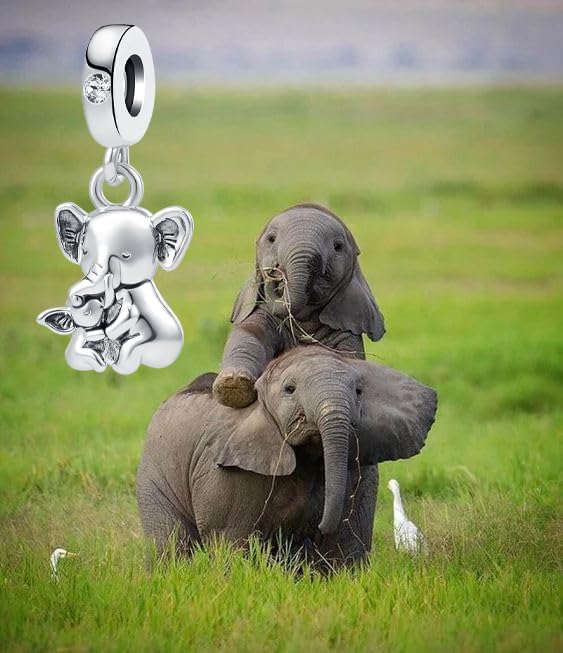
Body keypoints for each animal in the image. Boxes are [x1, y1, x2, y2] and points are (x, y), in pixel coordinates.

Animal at [137, 346, 437, 569]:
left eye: (359, 392)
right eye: (289, 390)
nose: (318, 526)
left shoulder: (359, 470)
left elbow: (345, 542)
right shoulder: (226, 472)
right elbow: (232, 541)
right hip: (154, 474)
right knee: (171, 544)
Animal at [213, 203, 385, 409]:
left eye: (338, 246)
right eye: (271, 239)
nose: (274, 272)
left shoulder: (346, 328)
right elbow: (248, 335)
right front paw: (233, 385)